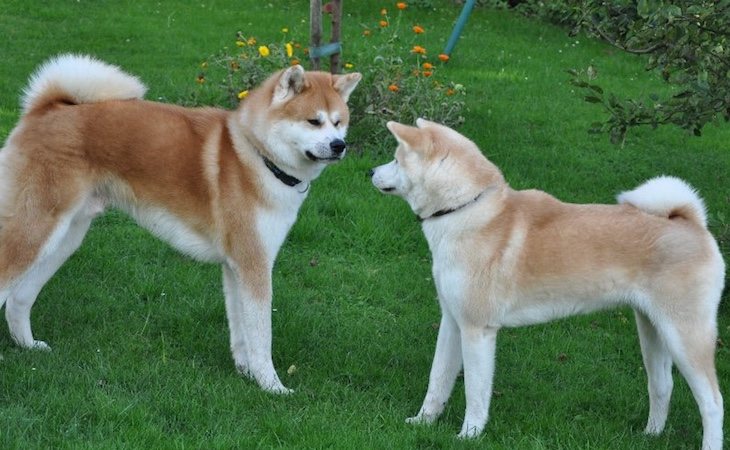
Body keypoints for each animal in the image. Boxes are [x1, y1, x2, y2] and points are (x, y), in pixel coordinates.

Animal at [0, 53, 362, 394]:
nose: (339, 145)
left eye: (338, 122)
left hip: (64, 237)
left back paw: (28, 345)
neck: (258, 156)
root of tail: (45, 109)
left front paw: (245, 374)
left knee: (19, 299)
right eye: (313, 121)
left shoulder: (236, 267)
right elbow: (261, 335)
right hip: (34, 229)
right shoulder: (254, 264)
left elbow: (241, 331)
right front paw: (272, 386)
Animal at [372, 119, 724, 450]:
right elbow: (438, 379)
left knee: (712, 402)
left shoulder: (477, 330)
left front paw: (468, 435)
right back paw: (650, 435)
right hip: (653, 331)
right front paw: (423, 422)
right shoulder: (452, 321)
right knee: (662, 385)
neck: (467, 209)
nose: (370, 171)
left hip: (684, 335)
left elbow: (475, 390)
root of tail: (691, 222)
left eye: (395, 159)